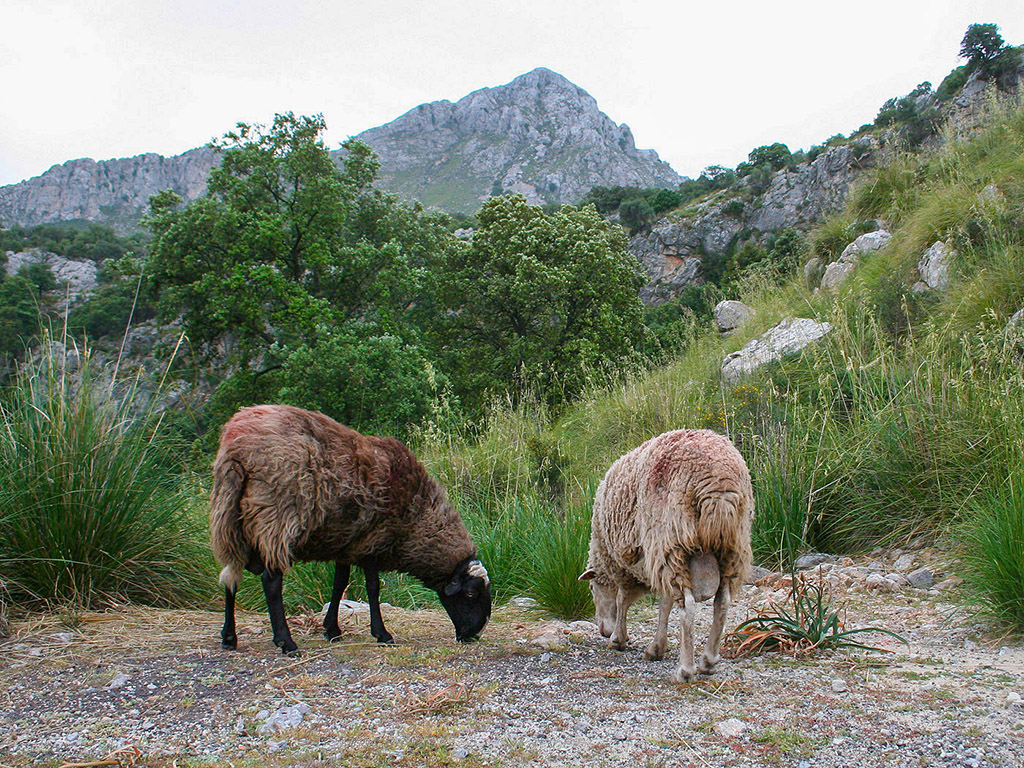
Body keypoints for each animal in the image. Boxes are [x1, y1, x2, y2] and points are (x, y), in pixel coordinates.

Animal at [209, 403, 489, 655]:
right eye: (471, 594)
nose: (474, 635)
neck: (418, 516)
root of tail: (238, 446)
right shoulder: (374, 541)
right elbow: (373, 588)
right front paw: (382, 634)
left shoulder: (346, 542)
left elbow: (339, 584)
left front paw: (332, 630)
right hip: (276, 516)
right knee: (271, 581)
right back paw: (286, 643)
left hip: (229, 517)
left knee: (230, 575)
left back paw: (229, 638)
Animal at [581, 430, 757, 684]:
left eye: (592, 588)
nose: (603, 631)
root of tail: (719, 480)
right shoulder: (655, 558)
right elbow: (664, 603)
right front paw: (657, 648)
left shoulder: (624, 561)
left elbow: (622, 600)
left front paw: (618, 638)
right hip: (732, 544)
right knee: (722, 601)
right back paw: (708, 661)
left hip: (671, 537)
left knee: (689, 606)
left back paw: (685, 669)